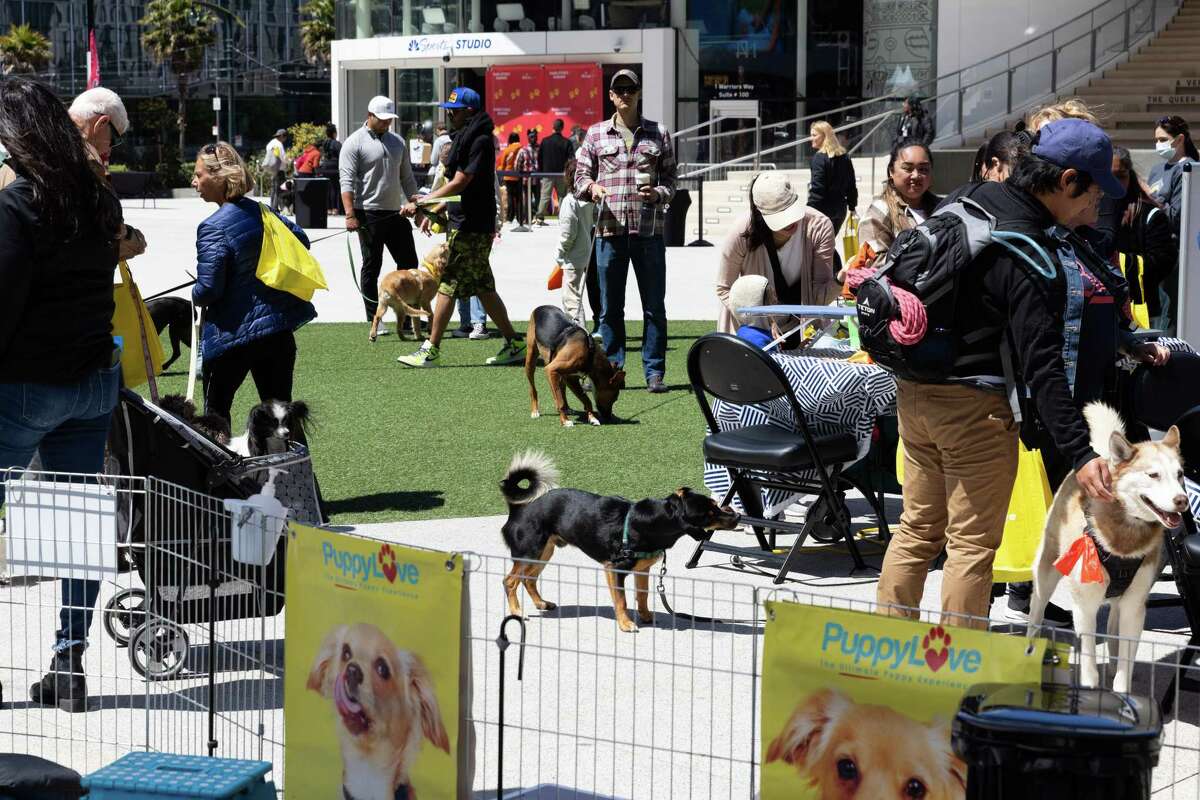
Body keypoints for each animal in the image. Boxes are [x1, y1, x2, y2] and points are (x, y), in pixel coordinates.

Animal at [496, 450, 739, 633]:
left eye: (715, 505)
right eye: (709, 513)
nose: (736, 516)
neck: (650, 522)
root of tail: (517, 508)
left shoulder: (642, 570)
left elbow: (642, 595)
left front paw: (646, 616)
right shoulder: (614, 569)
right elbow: (621, 600)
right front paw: (626, 624)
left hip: (542, 552)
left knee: (528, 579)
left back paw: (541, 603)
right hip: (530, 552)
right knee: (510, 581)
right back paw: (517, 612)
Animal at [1027, 402, 1185, 690]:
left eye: (1179, 475)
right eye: (1153, 475)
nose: (1182, 500)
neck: (1125, 533)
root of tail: (1099, 456)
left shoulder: (1135, 606)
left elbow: (1125, 664)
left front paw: (1120, 692)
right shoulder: (1084, 608)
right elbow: (1089, 667)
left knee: (1114, 624)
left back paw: (1111, 660)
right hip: (1045, 577)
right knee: (1035, 616)